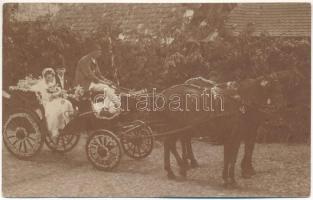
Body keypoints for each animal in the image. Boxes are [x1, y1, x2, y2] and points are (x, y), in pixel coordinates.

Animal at [157, 69, 302, 187]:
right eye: (272, 88)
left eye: (281, 87)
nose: (281, 106)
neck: (240, 103)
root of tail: (165, 93)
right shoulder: (237, 134)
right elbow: (235, 154)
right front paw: (238, 175)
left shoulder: (241, 133)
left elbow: (234, 155)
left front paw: (233, 177)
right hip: (174, 127)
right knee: (170, 143)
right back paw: (178, 168)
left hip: (181, 127)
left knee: (171, 144)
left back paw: (180, 168)